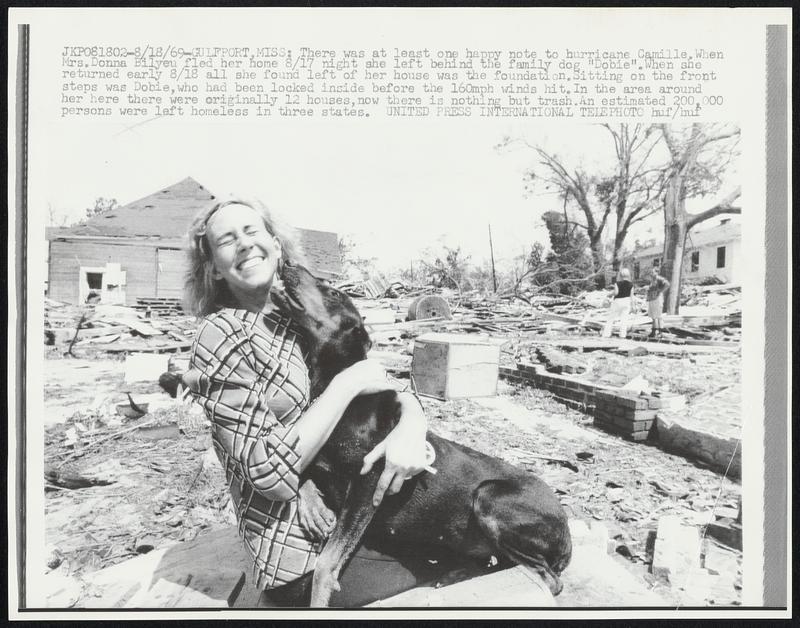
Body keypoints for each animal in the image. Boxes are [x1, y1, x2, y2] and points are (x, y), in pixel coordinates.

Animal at [272, 262, 572, 604]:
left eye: (334, 293)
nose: (287, 264)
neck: (338, 391)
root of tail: (567, 530)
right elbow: (302, 473)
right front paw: (314, 509)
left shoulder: (370, 479)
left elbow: (326, 563)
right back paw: (457, 573)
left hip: (490, 496)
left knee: (547, 580)